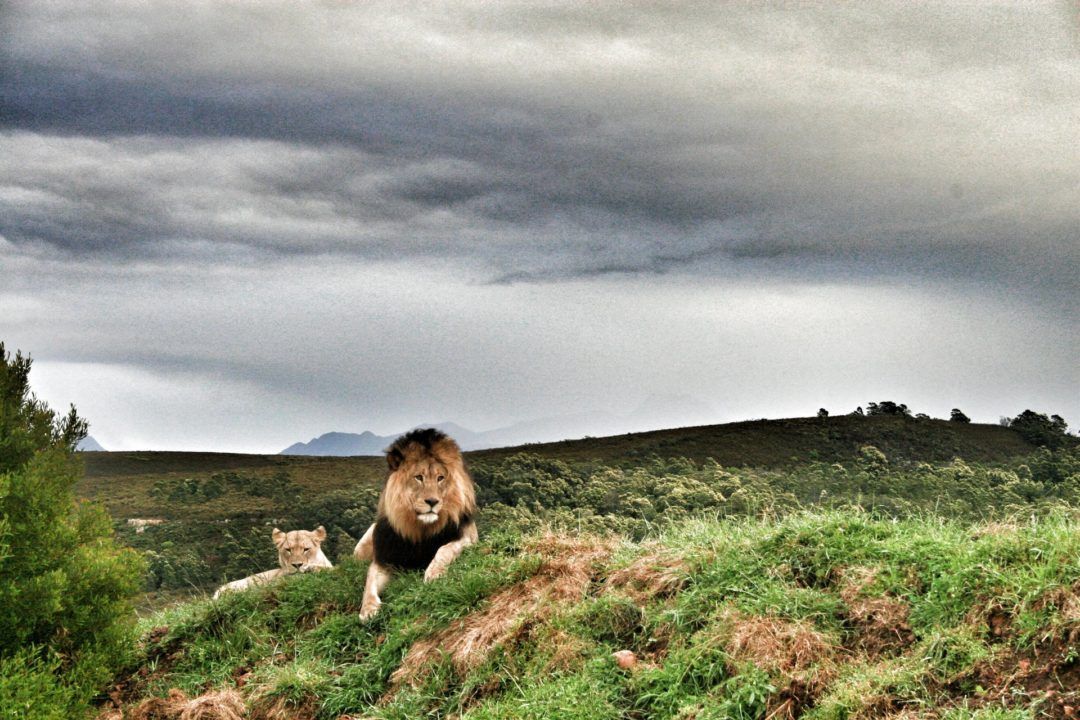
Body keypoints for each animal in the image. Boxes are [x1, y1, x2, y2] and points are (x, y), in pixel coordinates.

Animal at [353, 428, 478, 620]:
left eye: (440, 478)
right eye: (419, 477)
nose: (432, 501)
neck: (420, 528)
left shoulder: (467, 538)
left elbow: (444, 550)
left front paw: (434, 574)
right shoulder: (385, 559)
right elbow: (369, 580)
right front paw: (368, 609)